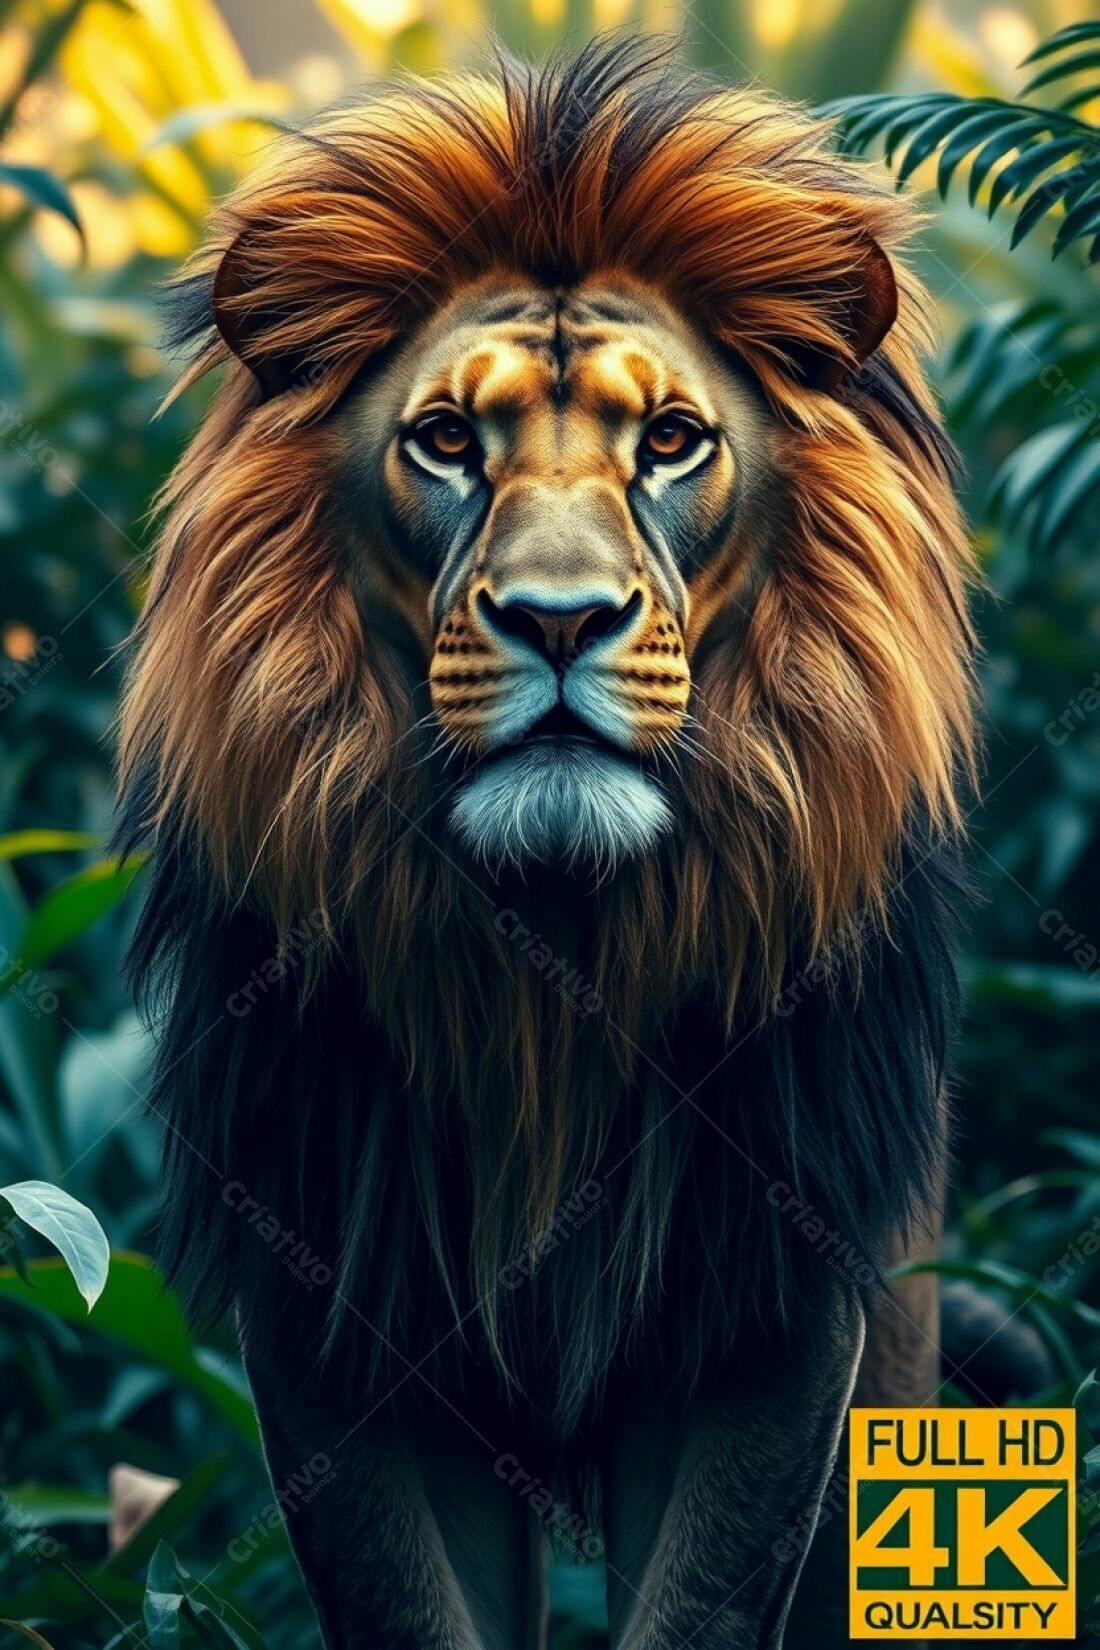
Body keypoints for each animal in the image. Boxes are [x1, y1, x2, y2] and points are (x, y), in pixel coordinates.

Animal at [118, 36, 976, 1650]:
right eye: (448, 441)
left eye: (672, 442)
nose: (561, 620)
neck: (552, 958)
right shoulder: (338, 1305)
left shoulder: (771, 1306)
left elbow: (701, 1607)